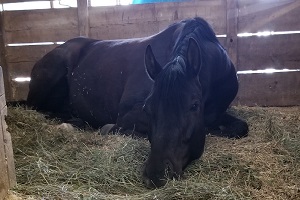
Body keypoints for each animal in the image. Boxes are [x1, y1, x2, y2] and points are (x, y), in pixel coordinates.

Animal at [27, 16, 248, 188]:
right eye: (147, 108)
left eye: (194, 106)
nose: (156, 174)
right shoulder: (127, 115)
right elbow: (119, 128)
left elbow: (241, 127)